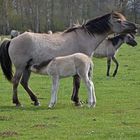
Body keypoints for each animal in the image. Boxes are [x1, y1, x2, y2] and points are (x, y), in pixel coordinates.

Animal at [0, 11, 137, 106]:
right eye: (119, 21)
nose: (135, 26)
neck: (84, 37)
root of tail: (12, 40)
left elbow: (75, 83)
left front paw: (75, 99)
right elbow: (77, 83)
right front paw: (77, 101)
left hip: (27, 68)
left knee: (24, 83)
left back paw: (36, 100)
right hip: (20, 67)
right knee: (16, 82)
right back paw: (17, 102)